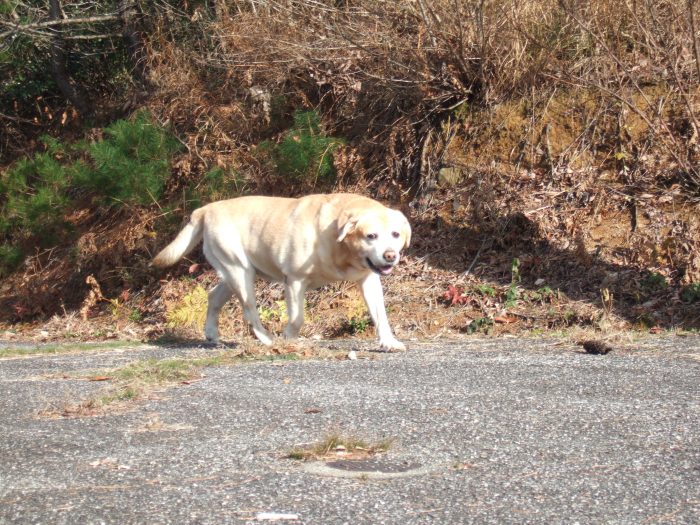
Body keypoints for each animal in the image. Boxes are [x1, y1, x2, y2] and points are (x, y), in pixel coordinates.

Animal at [150, 191, 408, 348]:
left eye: (395, 234)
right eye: (371, 236)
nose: (390, 256)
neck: (339, 243)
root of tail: (205, 209)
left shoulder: (369, 280)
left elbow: (380, 314)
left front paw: (388, 342)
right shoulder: (294, 280)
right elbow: (297, 317)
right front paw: (289, 338)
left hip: (234, 272)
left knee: (213, 296)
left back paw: (212, 333)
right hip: (240, 272)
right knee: (249, 310)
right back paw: (266, 339)